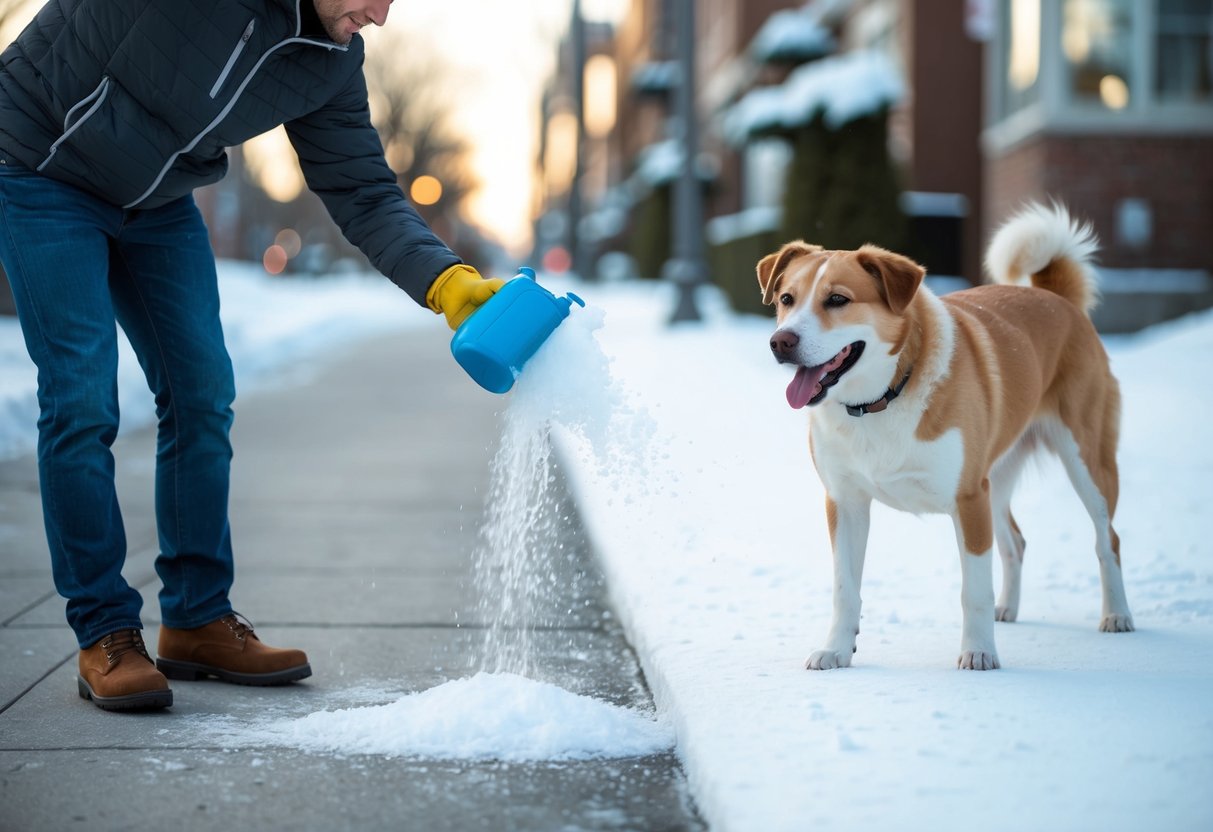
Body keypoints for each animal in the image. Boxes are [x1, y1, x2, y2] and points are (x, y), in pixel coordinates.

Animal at [761, 202, 1130, 669]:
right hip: (997, 477)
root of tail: (1056, 297)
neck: (881, 398)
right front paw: (836, 650)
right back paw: (1008, 608)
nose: (781, 342)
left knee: (1107, 539)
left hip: (1085, 460)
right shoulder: (844, 501)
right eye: (786, 299)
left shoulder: (968, 498)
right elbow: (845, 589)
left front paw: (978, 652)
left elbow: (973, 590)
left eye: (837, 300)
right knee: (1016, 542)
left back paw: (1117, 614)